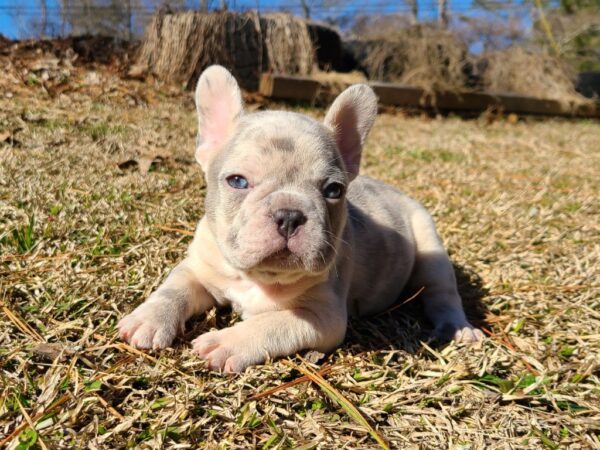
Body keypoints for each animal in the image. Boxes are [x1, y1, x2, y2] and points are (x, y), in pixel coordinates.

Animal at [119, 65, 486, 370]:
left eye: (334, 190)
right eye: (237, 181)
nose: (289, 216)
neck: (257, 278)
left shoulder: (323, 316)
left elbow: (272, 324)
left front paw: (225, 342)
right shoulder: (198, 267)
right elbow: (174, 288)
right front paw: (147, 318)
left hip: (430, 249)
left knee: (443, 294)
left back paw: (460, 329)